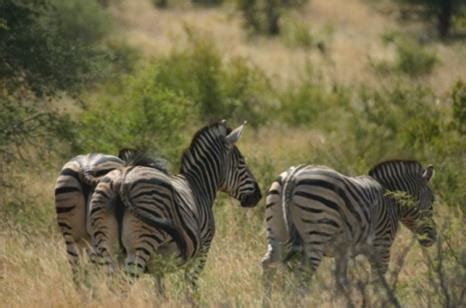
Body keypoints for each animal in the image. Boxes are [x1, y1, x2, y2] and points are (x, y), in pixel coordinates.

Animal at [87, 121, 262, 298]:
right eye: (241, 162)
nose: (258, 195)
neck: (198, 186)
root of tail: (122, 180)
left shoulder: (159, 262)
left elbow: (160, 290)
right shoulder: (202, 250)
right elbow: (190, 286)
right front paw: (191, 300)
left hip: (108, 248)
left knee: (112, 289)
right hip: (140, 246)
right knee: (122, 290)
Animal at [262, 160, 436, 300]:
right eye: (433, 201)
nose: (434, 238)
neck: (391, 199)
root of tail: (292, 176)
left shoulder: (342, 250)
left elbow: (340, 282)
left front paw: (339, 301)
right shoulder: (382, 245)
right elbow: (378, 280)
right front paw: (378, 300)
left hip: (276, 231)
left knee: (268, 264)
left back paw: (267, 300)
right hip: (316, 235)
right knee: (302, 275)